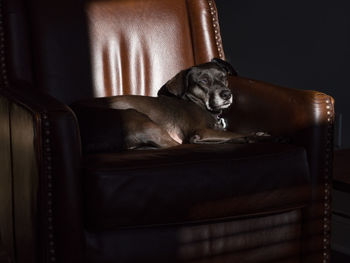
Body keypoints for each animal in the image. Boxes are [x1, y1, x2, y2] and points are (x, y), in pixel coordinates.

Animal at [71, 58, 268, 151]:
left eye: (224, 77)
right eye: (203, 81)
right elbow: (231, 134)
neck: (199, 103)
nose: (227, 94)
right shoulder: (200, 132)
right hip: (139, 118)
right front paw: (255, 135)